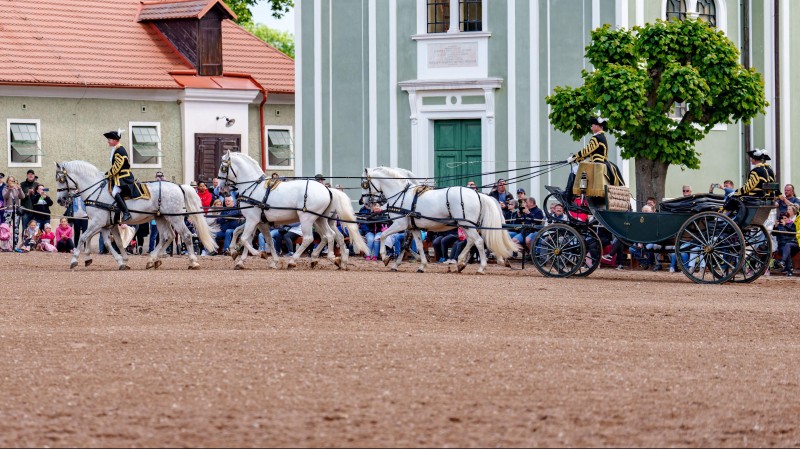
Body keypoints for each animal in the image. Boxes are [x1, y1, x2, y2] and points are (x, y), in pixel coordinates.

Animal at [53, 160, 217, 270]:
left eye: (61, 179)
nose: (60, 200)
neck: (96, 190)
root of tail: (178, 186)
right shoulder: (107, 225)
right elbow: (113, 243)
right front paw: (122, 261)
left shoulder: (97, 223)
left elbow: (83, 237)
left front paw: (74, 260)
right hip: (161, 217)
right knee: (167, 236)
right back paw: (153, 260)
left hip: (175, 217)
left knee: (186, 235)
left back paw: (193, 262)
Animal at [219, 150, 368, 270]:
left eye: (223, 167)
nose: (221, 188)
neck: (253, 188)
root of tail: (328, 189)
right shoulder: (260, 222)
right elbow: (258, 238)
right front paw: (239, 258)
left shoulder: (252, 220)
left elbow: (244, 238)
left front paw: (259, 254)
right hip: (320, 219)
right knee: (331, 236)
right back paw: (334, 259)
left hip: (307, 218)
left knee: (310, 238)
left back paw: (294, 261)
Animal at [360, 166, 516, 272]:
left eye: (364, 183)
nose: (363, 201)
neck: (401, 194)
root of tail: (477, 194)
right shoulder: (413, 227)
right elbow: (419, 246)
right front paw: (422, 265)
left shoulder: (400, 224)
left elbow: (383, 236)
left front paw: (385, 258)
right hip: (466, 225)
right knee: (472, 241)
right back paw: (461, 263)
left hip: (467, 224)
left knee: (478, 242)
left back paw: (481, 267)